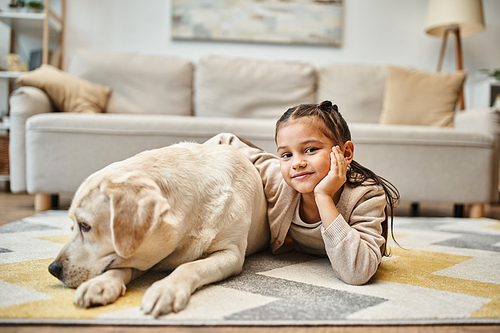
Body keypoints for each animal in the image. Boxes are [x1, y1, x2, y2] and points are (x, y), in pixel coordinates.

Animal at [47, 142, 270, 316]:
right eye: (73, 226)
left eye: (85, 226)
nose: (53, 269)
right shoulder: (145, 253)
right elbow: (121, 265)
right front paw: (100, 284)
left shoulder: (231, 254)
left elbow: (190, 266)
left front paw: (166, 289)